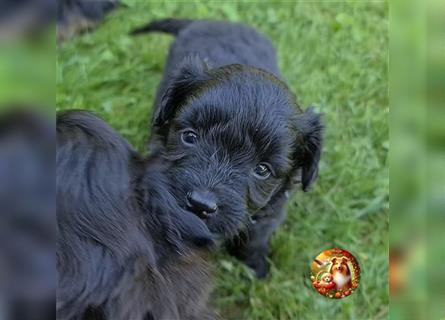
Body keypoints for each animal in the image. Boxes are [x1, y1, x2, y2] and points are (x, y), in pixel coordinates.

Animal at [132, 18, 322, 278]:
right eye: (189, 137)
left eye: (262, 169)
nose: (200, 204)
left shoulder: (269, 212)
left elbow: (256, 236)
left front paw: (256, 266)